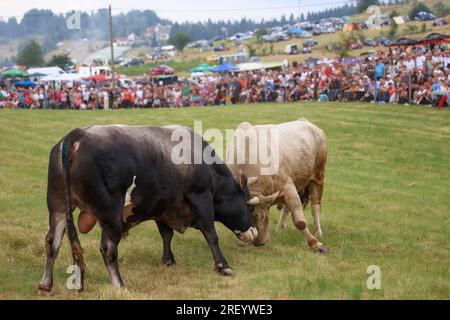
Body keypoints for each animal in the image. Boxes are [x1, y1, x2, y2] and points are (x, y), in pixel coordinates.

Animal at [39, 125, 256, 292]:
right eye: (249, 207)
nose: (253, 232)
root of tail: (77, 135)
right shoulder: (201, 197)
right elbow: (211, 234)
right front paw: (223, 266)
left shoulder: (163, 207)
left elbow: (166, 234)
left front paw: (168, 260)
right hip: (111, 215)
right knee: (108, 250)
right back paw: (119, 285)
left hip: (58, 208)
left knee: (52, 243)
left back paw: (46, 284)